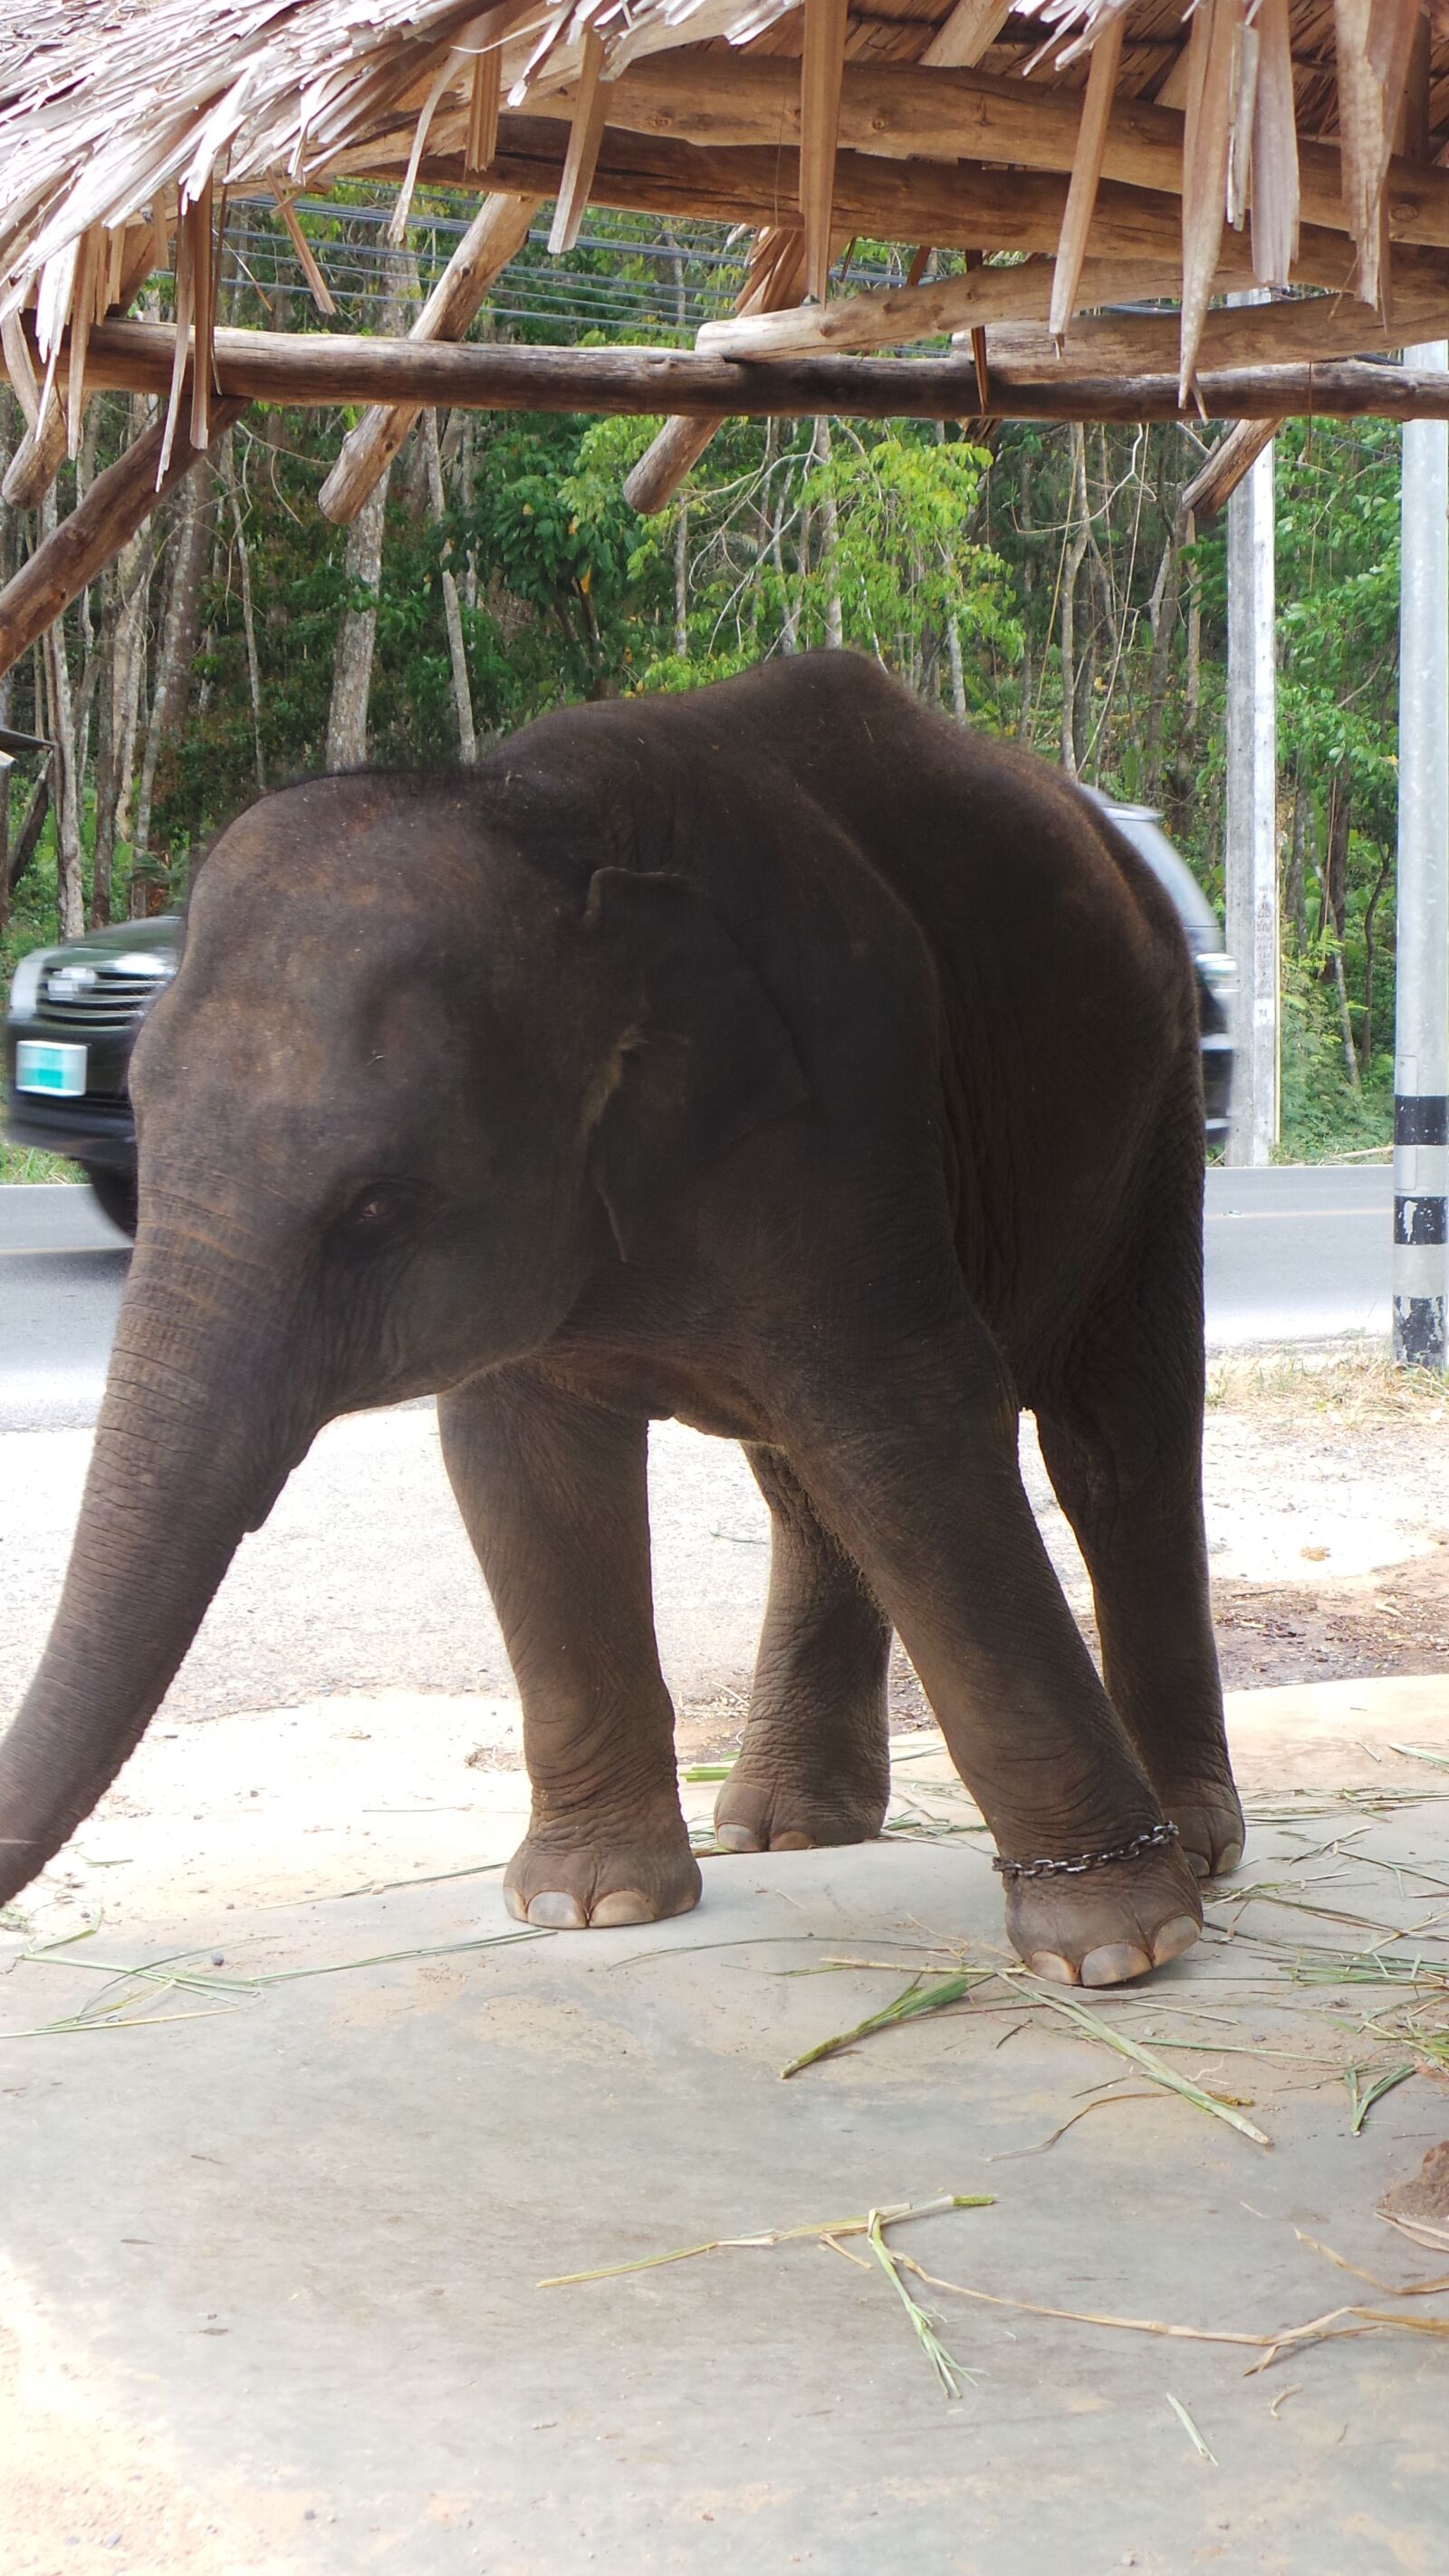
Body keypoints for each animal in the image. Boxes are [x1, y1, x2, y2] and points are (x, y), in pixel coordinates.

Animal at [0, 651, 1242, 1986]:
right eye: (136, 1119)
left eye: (378, 1207)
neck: (545, 818)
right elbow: (520, 1465)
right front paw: (589, 1906)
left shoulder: (843, 1114)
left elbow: (913, 1428)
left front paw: (1122, 1950)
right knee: (809, 1479)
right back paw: (784, 1830)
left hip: (1154, 1101)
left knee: (1113, 1441)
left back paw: (1196, 1848)